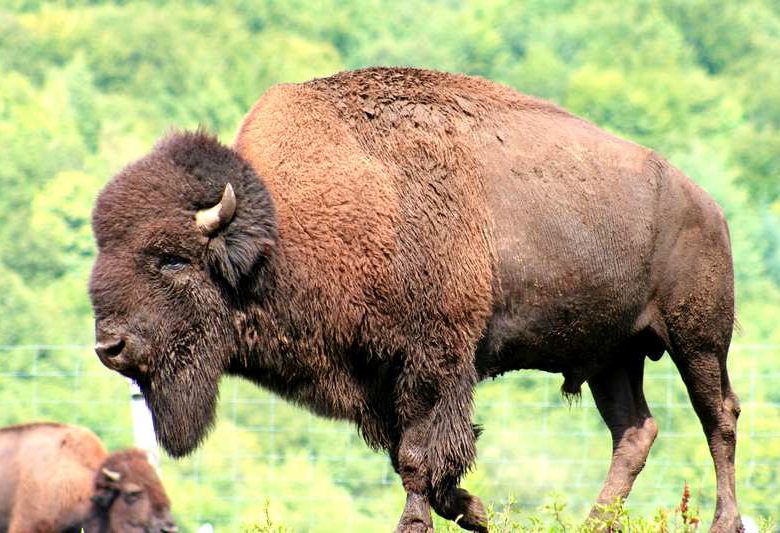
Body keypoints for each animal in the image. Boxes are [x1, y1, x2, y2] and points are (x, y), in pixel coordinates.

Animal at [88, 67, 740, 532]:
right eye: (102, 249)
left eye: (173, 259)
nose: (109, 346)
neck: (287, 232)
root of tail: (704, 202)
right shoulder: (378, 378)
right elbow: (410, 454)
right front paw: (474, 511)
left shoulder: (433, 360)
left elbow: (423, 452)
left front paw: (423, 521)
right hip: (612, 356)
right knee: (634, 432)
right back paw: (593, 523)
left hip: (698, 341)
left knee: (719, 419)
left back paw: (723, 521)